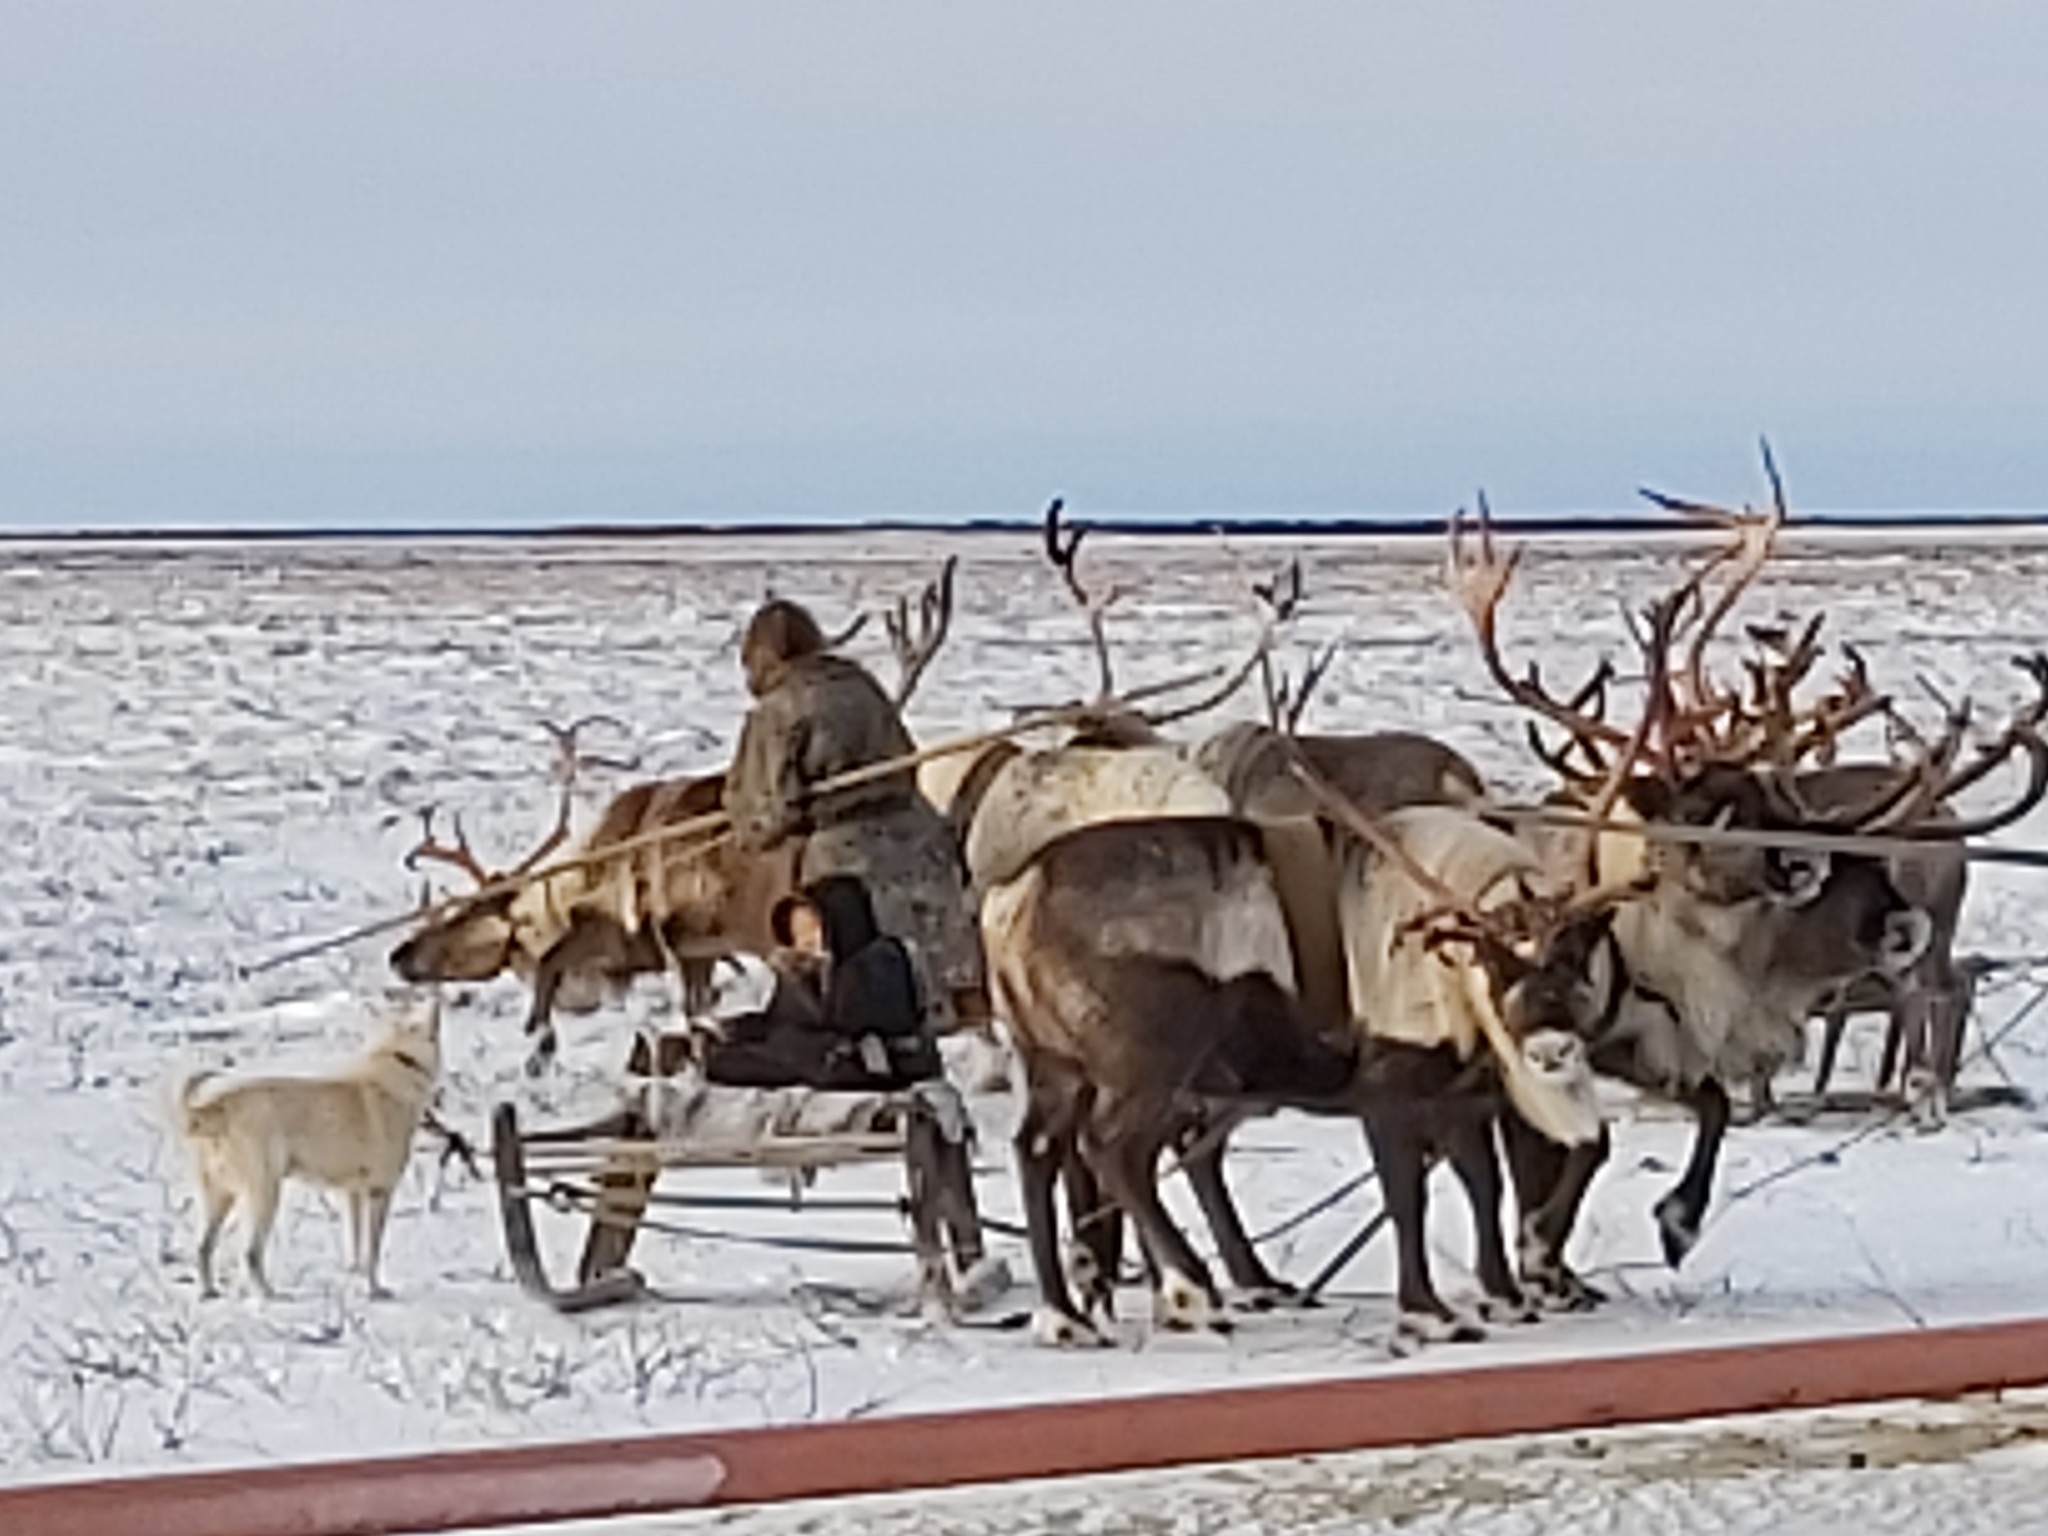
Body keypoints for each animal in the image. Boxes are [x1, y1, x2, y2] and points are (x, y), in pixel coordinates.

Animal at [179, 999, 444, 1302]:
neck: (401, 1062)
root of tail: (218, 1106)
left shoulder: (353, 1194)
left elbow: (356, 1250)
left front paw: (354, 1280)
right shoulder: (380, 1192)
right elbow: (373, 1252)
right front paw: (375, 1291)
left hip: (220, 1196)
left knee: (203, 1247)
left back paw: (209, 1292)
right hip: (266, 1194)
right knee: (250, 1253)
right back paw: (270, 1295)